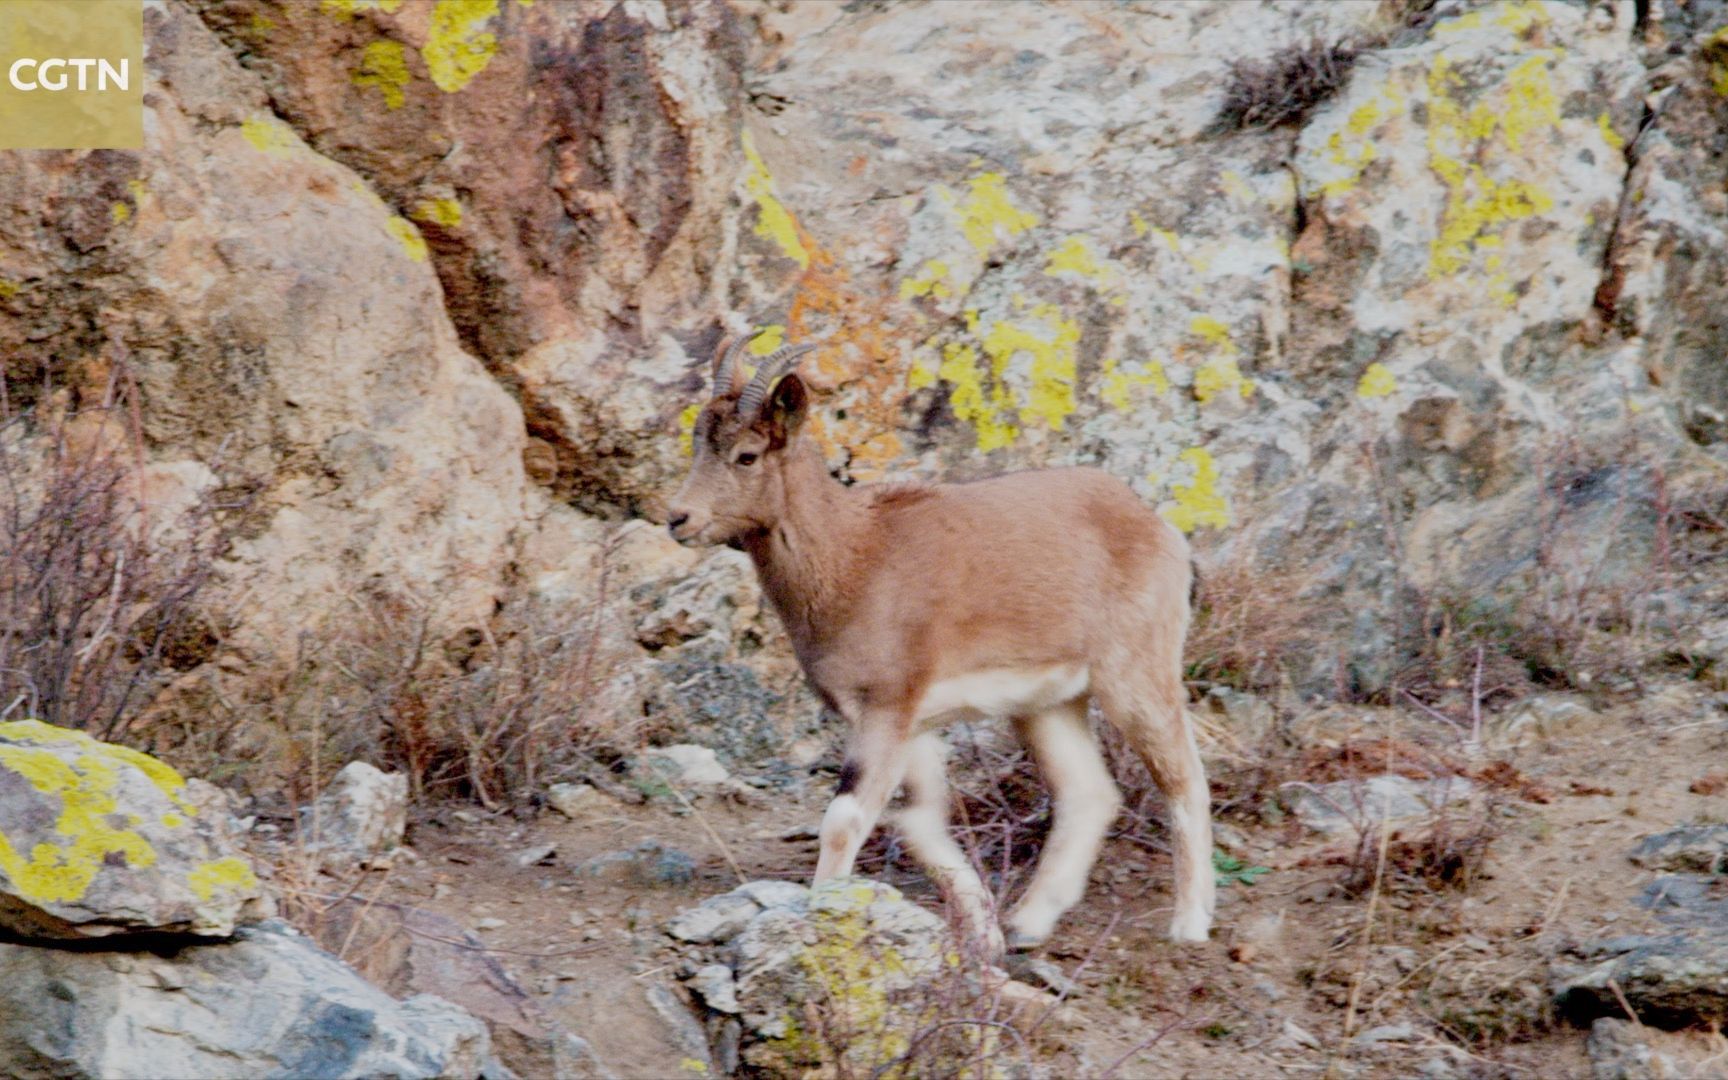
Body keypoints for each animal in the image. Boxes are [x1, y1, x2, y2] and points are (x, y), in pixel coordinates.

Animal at [660, 333, 1216, 946]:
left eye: (747, 455)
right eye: (698, 443)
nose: (679, 518)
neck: (853, 556)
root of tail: (1162, 534)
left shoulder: (888, 707)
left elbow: (846, 820)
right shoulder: (912, 723)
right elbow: (918, 820)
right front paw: (984, 934)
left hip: (1136, 677)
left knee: (1184, 778)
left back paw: (1190, 923)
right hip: (1047, 704)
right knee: (1089, 793)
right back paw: (1028, 922)